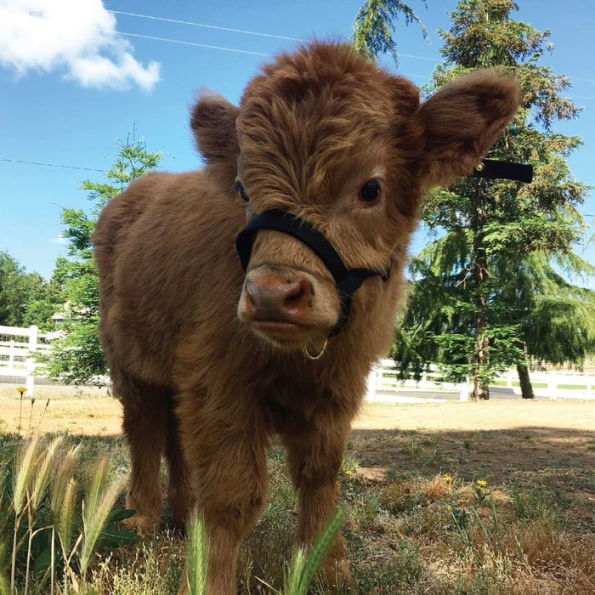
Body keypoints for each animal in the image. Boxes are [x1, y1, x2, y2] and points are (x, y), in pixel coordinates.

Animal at [92, 40, 516, 592]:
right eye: (244, 189)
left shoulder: (336, 393)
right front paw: (208, 577)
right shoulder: (220, 384)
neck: (300, 357)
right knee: (143, 430)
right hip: (129, 363)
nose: (272, 295)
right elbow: (231, 495)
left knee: (173, 439)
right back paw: (140, 521)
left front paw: (330, 570)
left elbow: (320, 480)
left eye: (371, 188)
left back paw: (181, 520)